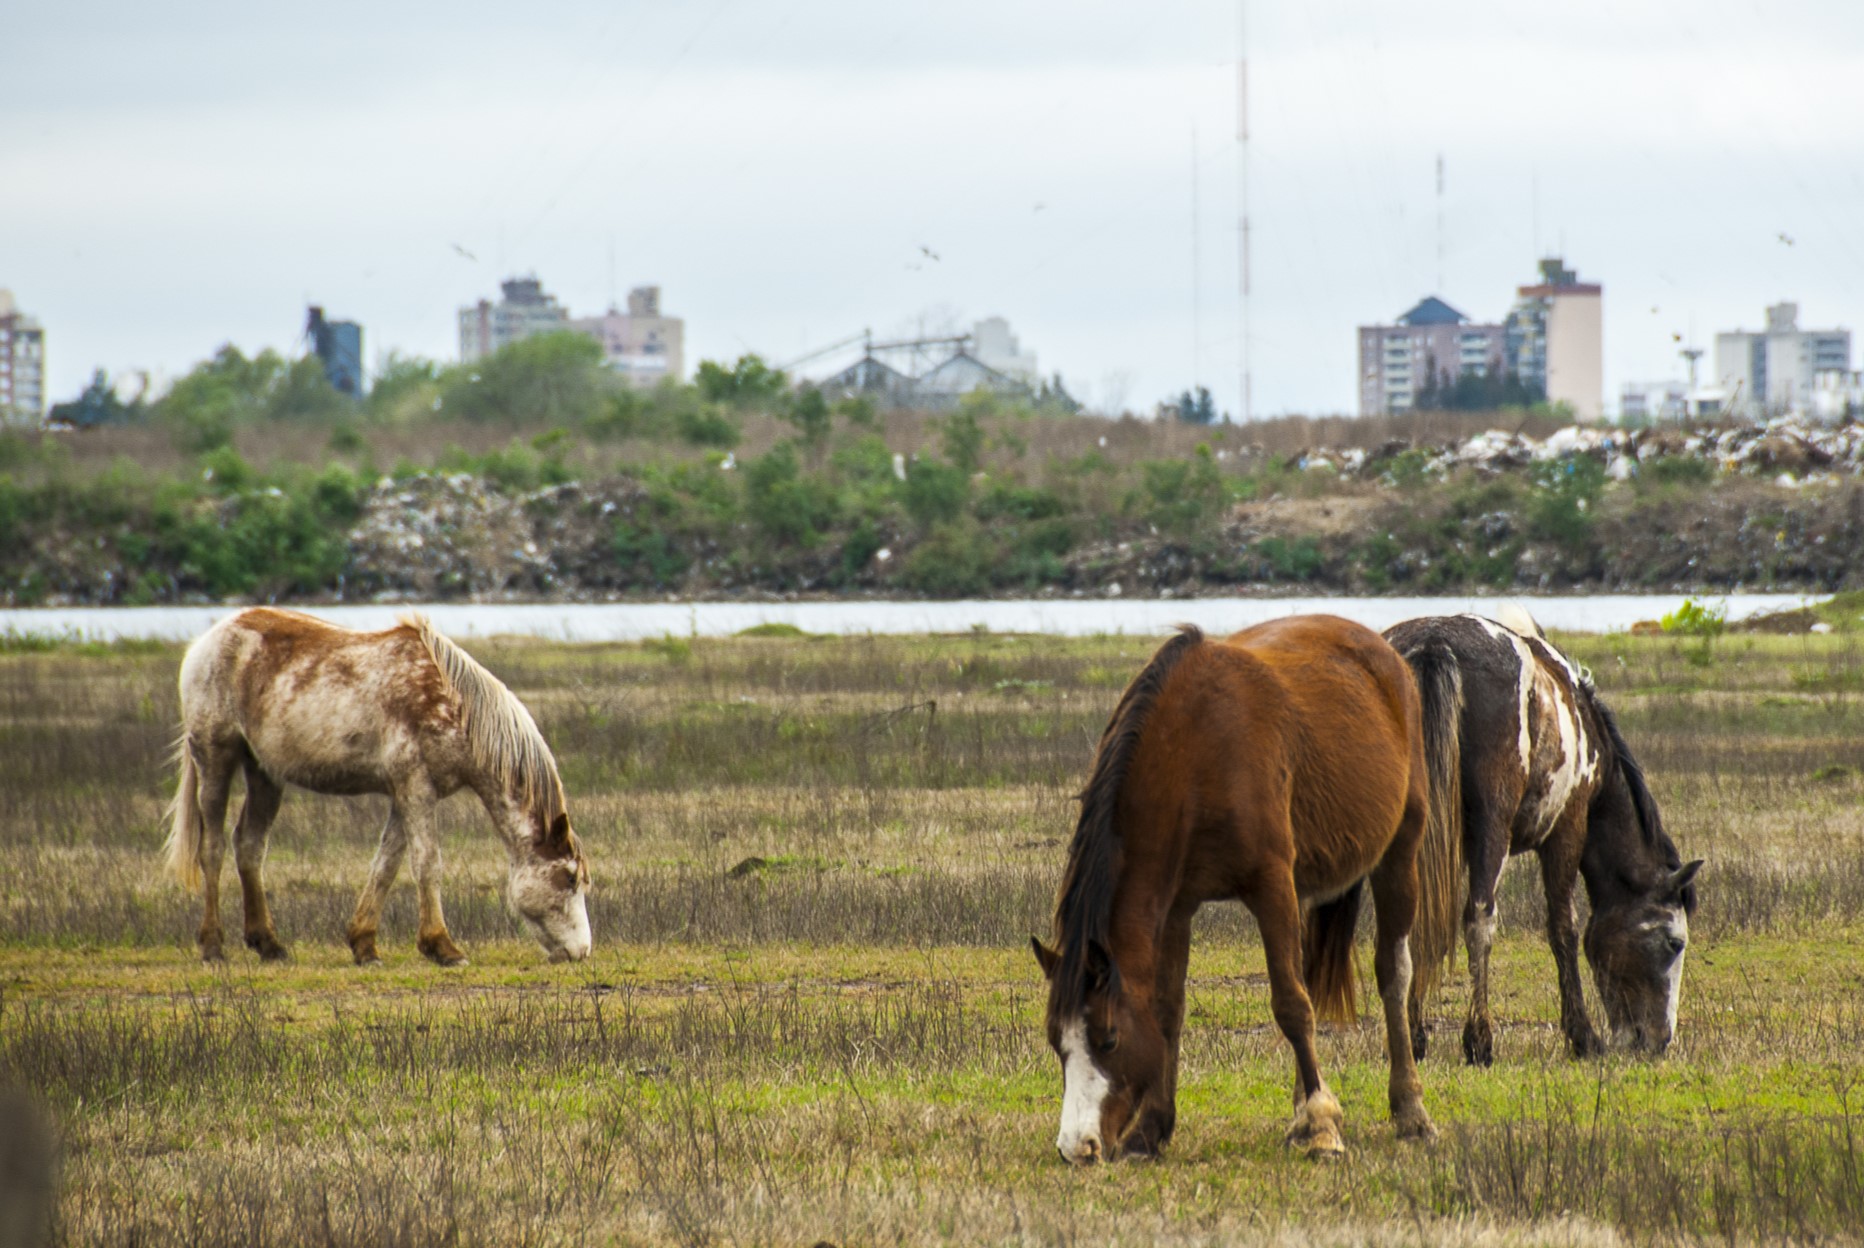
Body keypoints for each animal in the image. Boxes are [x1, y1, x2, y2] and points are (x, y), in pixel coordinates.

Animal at [166, 610, 592, 976]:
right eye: (569, 879)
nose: (582, 951)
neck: (453, 706)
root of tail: (207, 640)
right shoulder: (416, 788)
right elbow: (427, 865)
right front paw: (443, 947)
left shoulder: (407, 795)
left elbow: (385, 865)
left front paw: (364, 945)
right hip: (215, 757)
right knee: (213, 848)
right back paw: (212, 946)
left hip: (265, 774)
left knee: (250, 846)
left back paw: (268, 944)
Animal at [1028, 622, 1431, 1169]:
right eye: (1057, 1041)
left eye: (1108, 1039)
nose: (1077, 1147)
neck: (1194, 752)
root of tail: (1387, 656)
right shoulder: (1177, 907)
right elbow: (1168, 1010)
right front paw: (1151, 1130)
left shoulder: (1271, 884)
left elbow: (1292, 1005)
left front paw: (1324, 1125)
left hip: (1398, 853)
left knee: (1392, 973)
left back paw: (1409, 1109)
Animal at [1386, 607, 1707, 1065]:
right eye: (1674, 943)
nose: (1659, 1040)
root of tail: (1434, 643)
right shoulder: (1566, 830)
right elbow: (1563, 928)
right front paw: (1582, 1036)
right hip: (1492, 830)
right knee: (1479, 919)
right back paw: (1479, 1040)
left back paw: (1411, 1038)